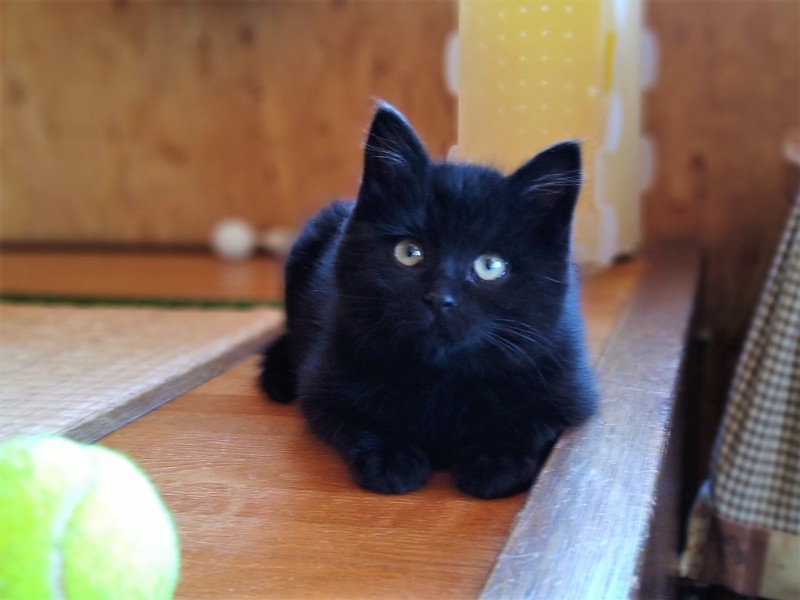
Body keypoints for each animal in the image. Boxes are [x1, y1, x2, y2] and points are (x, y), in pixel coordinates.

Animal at [259, 102, 598, 499]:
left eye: (490, 266)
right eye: (409, 252)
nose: (439, 299)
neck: (443, 378)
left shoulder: (568, 385)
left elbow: (534, 419)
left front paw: (495, 458)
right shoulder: (325, 385)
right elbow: (355, 418)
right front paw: (391, 455)